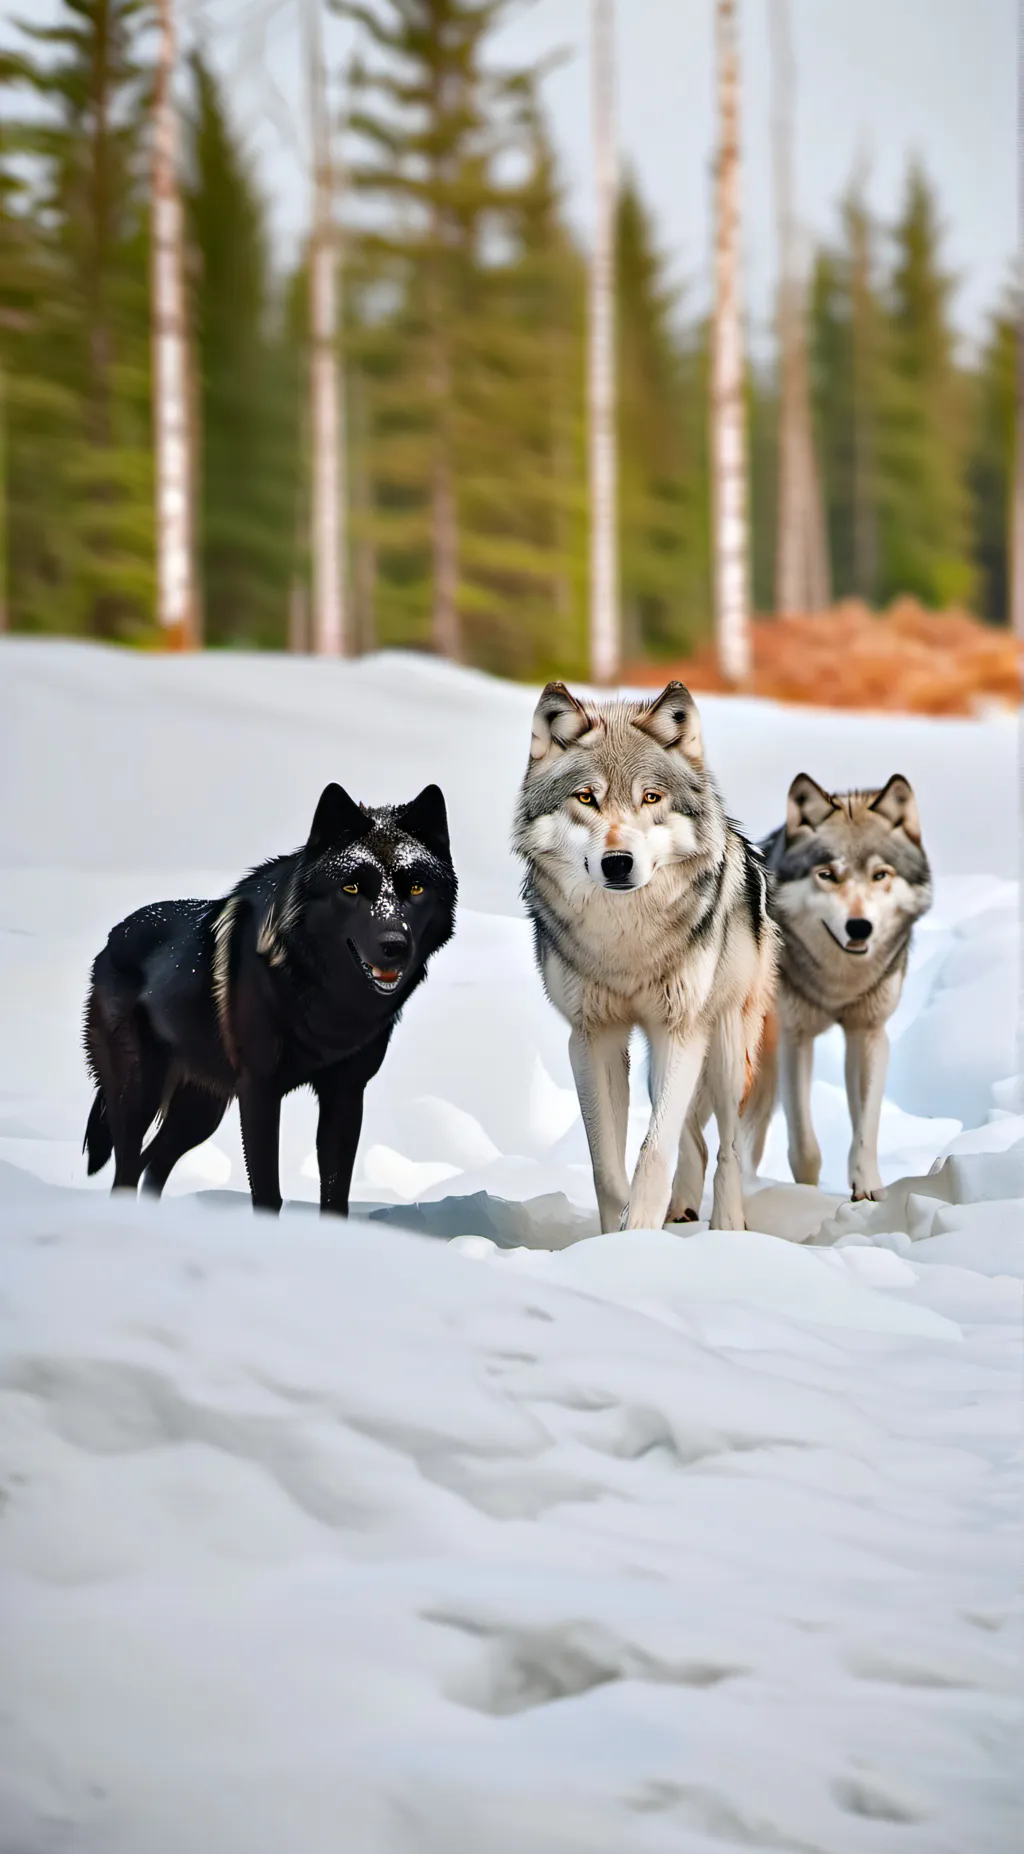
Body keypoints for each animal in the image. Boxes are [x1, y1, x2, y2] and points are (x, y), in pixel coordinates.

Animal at [83, 782, 456, 1214]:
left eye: (415, 888)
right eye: (350, 887)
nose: (394, 946)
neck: (328, 997)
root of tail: (112, 938)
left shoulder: (346, 1092)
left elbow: (336, 1197)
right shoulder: (259, 1090)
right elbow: (267, 1193)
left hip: (201, 1112)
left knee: (154, 1164)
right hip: (138, 1094)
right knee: (127, 1169)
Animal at [513, 680, 778, 1233]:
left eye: (651, 797)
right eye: (586, 797)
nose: (618, 863)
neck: (626, 943)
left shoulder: (681, 1031)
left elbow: (653, 1153)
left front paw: (637, 1234)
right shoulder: (594, 1037)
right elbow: (605, 1162)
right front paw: (616, 1236)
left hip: (724, 1046)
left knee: (727, 1146)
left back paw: (727, 1226)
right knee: (694, 1140)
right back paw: (682, 1212)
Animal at [745, 772, 932, 1201]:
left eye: (881, 875)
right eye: (828, 874)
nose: (859, 927)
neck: (838, 985)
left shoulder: (868, 1033)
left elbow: (865, 1129)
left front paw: (867, 1189)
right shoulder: (796, 1039)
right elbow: (804, 1144)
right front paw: (806, 1195)